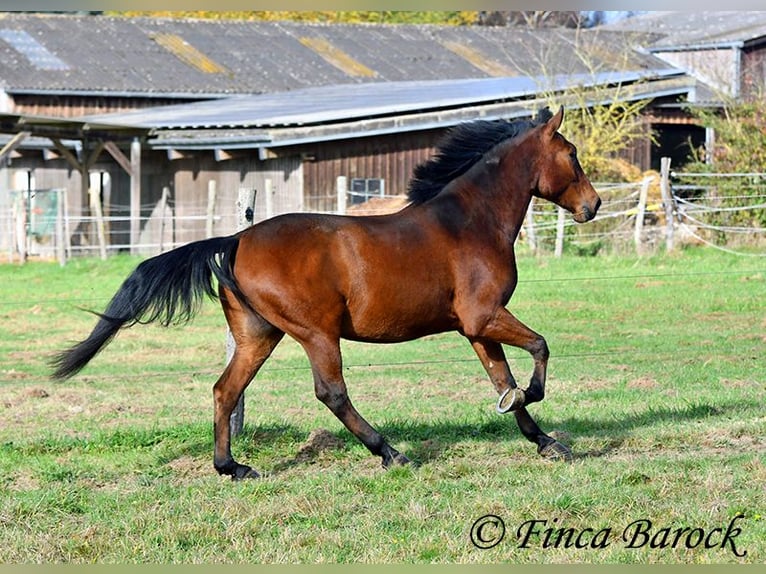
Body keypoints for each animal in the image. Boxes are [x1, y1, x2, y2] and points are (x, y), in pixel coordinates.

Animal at [52, 107, 600, 482]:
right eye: (571, 154)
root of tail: (235, 240)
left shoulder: (476, 327)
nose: (592, 206)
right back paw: (390, 452)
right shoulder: (485, 315)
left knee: (225, 390)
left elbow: (501, 378)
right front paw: (533, 402)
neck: (469, 223)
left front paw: (544, 440)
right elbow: (540, 348)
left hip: (259, 335)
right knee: (331, 392)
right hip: (316, 333)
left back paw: (232, 467)